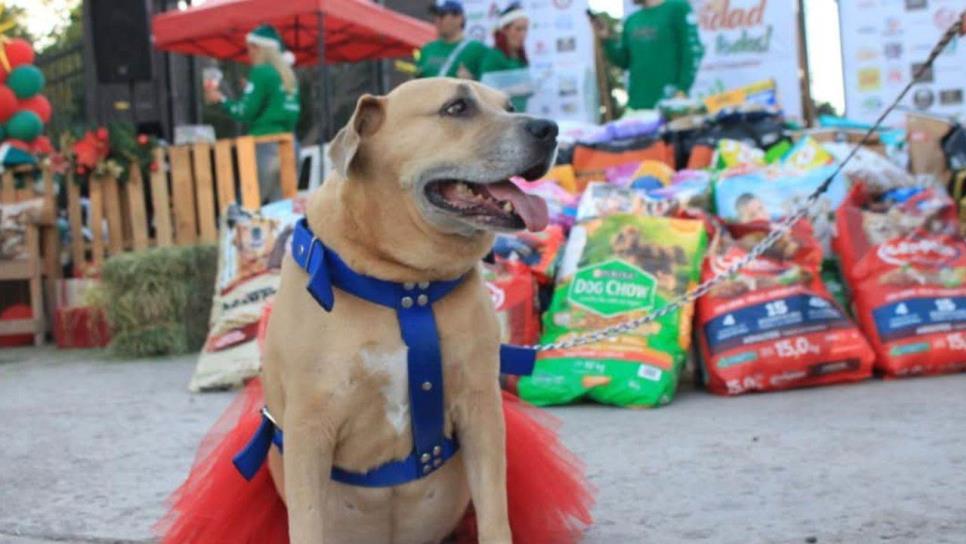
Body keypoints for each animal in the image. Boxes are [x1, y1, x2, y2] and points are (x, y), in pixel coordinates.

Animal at [260, 77, 560, 544]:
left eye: (509, 106)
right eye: (457, 108)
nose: (550, 129)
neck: (405, 284)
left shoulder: (482, 410)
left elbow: (495, 513)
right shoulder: (310, 429)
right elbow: (307, 523)